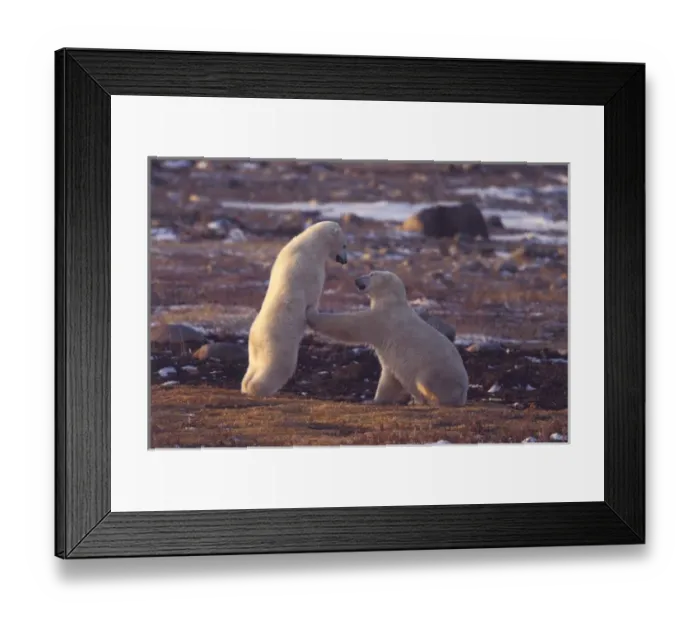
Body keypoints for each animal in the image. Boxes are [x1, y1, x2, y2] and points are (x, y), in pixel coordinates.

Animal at [241, 221, 348, 397]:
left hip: (254, 349)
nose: (345, 260)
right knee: (278, 367)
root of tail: (256, 337)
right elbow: (312, 293)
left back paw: (245, 385)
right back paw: (258, 389)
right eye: (345, 245)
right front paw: (313, 311)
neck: (309, 245)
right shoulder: (310, 268)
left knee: (253, 366)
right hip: (278, 344)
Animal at [306, 270, 469, 406]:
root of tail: (463, 393)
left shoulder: (383, 319)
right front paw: (374, 400)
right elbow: (390, 377)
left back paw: (430, 400)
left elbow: (351, 325)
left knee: (425, 382)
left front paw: (312, 313)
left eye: (371, 274)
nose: (357, 280)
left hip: (437, 372)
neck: (392, 300)